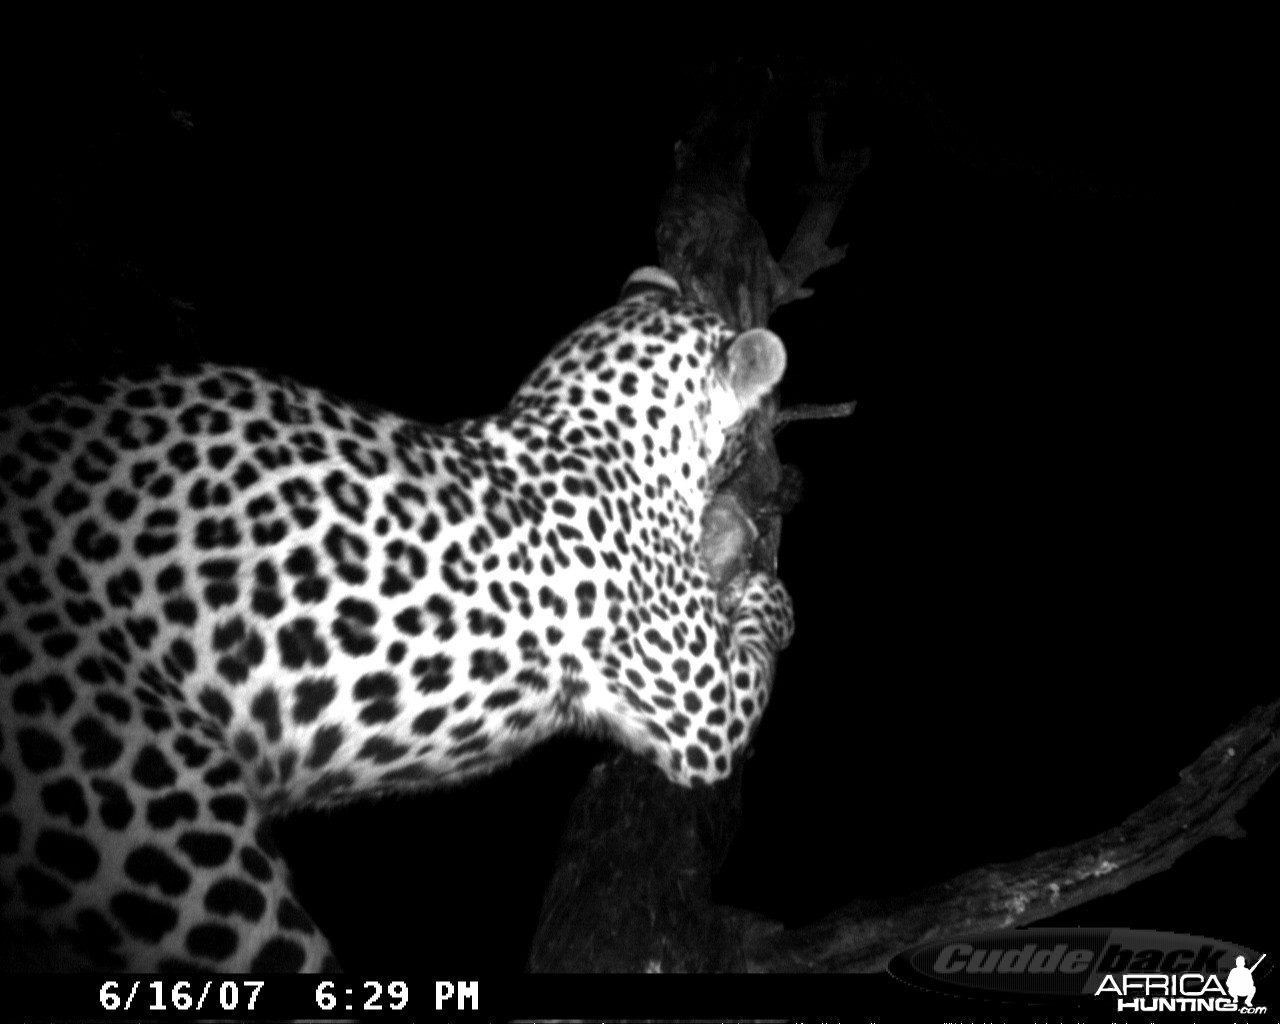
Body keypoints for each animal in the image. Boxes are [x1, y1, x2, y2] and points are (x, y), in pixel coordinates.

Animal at [0, 267, 793, 972]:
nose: (761, 463)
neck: (578, 430)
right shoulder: (704, 714)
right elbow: (763, 629)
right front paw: (766, 585)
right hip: (170, 831)